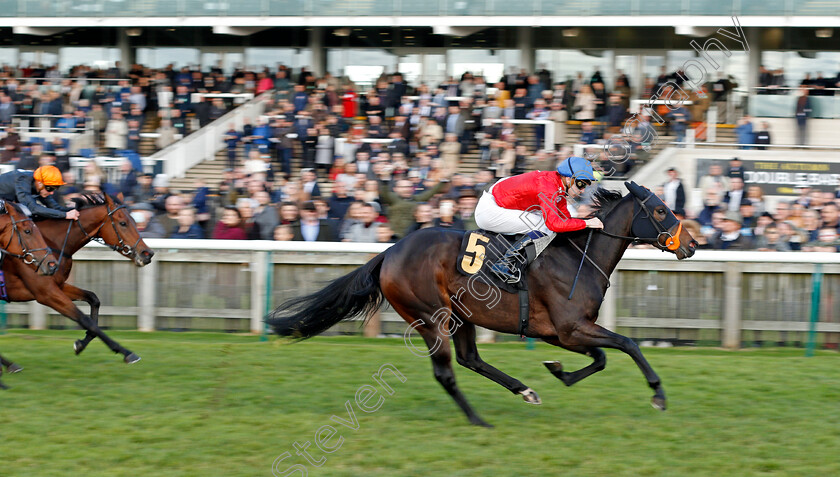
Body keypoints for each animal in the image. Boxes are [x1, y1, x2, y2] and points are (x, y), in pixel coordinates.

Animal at [270, 182, 696, 428]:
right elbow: (627, 344)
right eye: (660, 210)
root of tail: (389, 252)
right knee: (446, 372)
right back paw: (477, 419)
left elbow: (602, 357)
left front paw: (558, 371)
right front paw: (658, 395)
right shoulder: (571, 328)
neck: (579, 255)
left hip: (461, 316)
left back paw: (524, 391)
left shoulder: (562, 333)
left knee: (470, 359)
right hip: (430, 317)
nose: (691, 244)